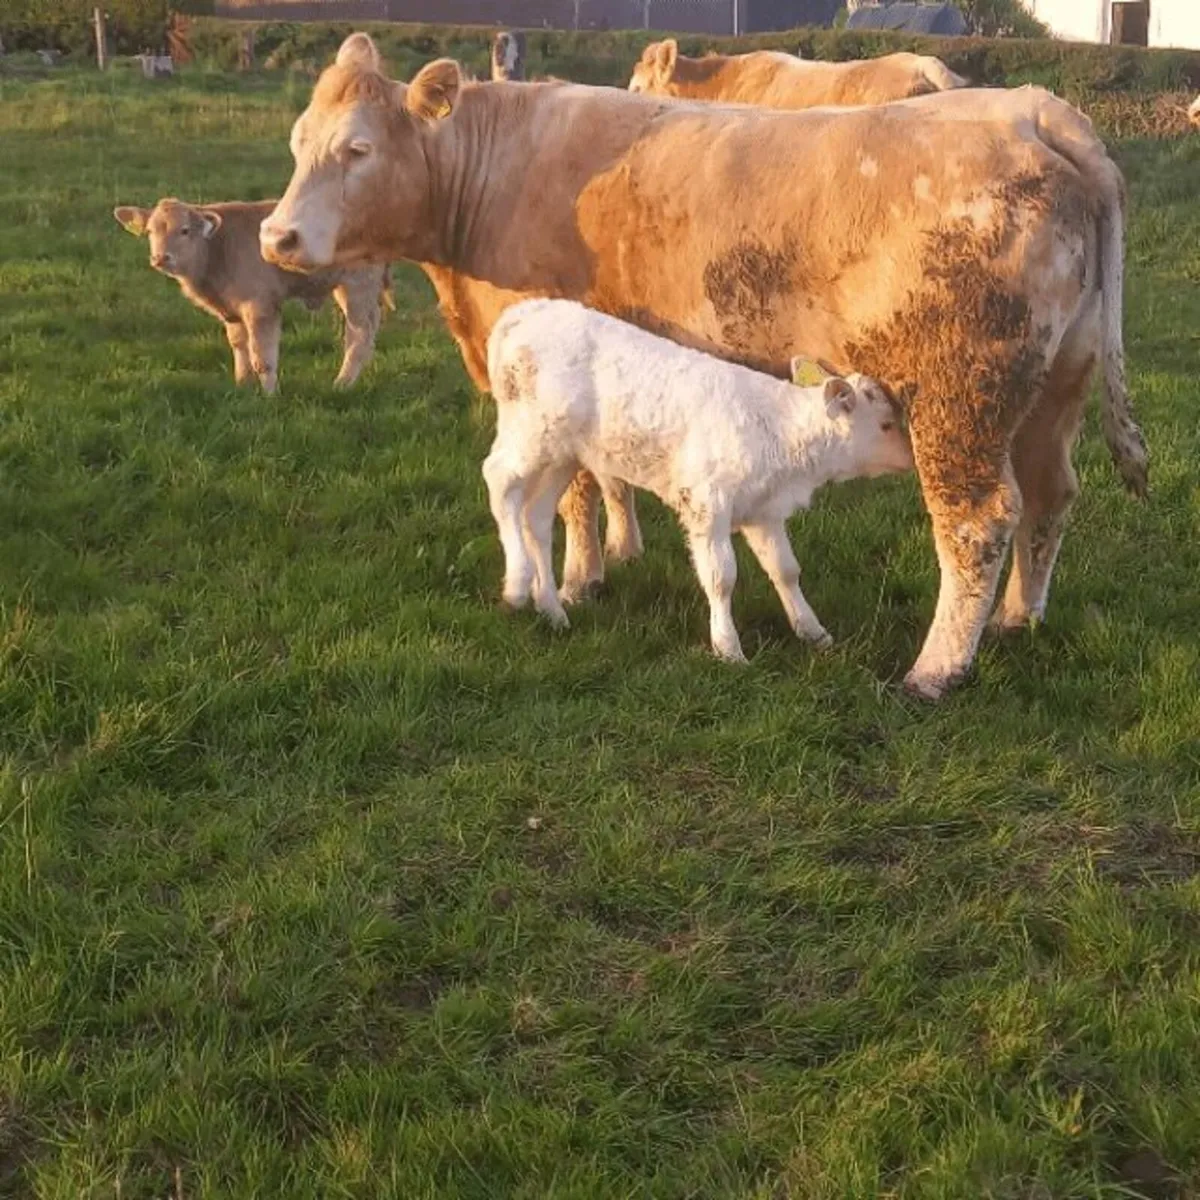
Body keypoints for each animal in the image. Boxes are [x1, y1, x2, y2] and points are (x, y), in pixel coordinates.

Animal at [114, 197, 391, 392]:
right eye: (151, 232)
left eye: (184, 230)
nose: (161, 258)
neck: (217, 249)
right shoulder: (231, 312)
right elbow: (239, 345)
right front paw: (242, 383)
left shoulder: (261, 307)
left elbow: (262, 354)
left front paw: (270, 393)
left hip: (356, 287)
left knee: (358, 336)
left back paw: (342, 383)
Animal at [484, 299, 913, 659]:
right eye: (886, 424)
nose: (913, 458)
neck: (778, 427)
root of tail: (523, 312)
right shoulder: (707, 503)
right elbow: (721, 576)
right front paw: (728, 647)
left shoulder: (764, 510)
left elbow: (786, 569)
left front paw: (813, 631)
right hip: (530, 435)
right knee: (499, 479)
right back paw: (518, 584)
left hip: (561, 455)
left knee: (536, 516)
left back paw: (552, 609)